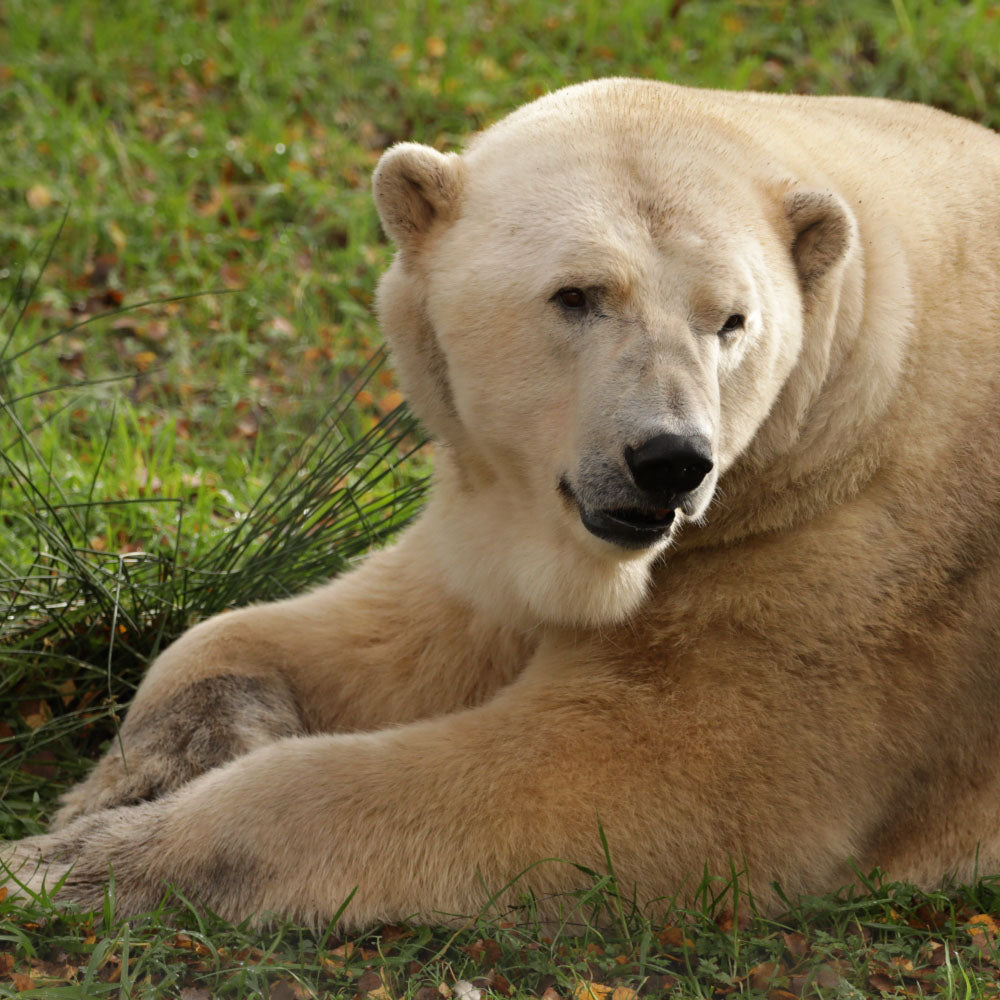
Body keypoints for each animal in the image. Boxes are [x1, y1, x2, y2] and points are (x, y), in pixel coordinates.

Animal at [4, 78, 1000, 927]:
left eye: (732, 321)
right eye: (577, 295)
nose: (670, 461)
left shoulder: (846, 578)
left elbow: (635, 783)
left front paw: (69, 862)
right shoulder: (508, 516)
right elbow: (378, 630)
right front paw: (147, 771)